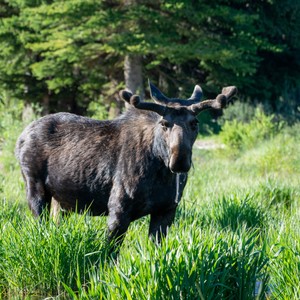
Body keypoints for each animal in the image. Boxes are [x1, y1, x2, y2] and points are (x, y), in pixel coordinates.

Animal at [15, 81, 237, 251]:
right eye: (164, 123)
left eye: (195, 123)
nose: (179, 160)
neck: (160, 173)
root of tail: (21, 137)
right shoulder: (118, 210)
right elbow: (109, 255)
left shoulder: (166, 210)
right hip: (35, 188)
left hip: (62, 201)